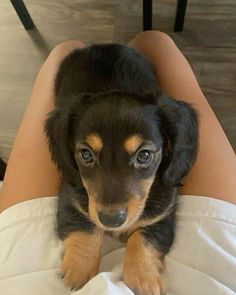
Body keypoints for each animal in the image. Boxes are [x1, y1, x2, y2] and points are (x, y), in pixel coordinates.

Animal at [44, 44, 199, 295]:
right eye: (86, 154)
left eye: (144, 155)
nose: (111, 220)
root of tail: (101, 45)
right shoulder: (71, 194)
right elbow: (85, 225)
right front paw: (78, 268)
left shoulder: (165, 210)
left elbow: (145, 237)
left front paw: (143, 277)